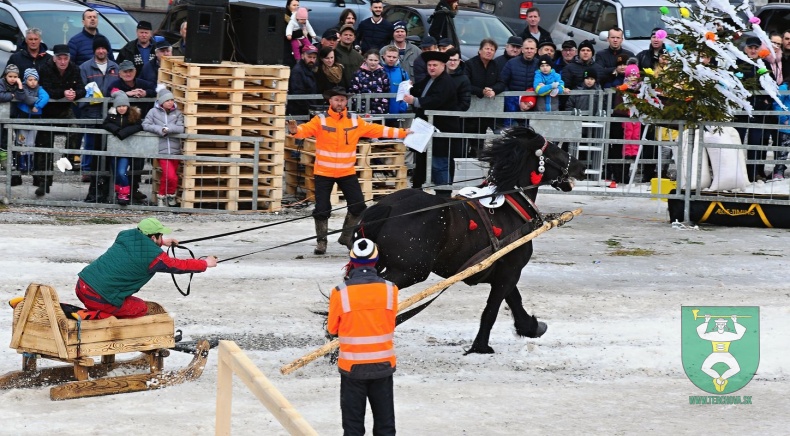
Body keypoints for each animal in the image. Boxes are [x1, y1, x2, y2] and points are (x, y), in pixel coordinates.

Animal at [352, 126, 588, 354]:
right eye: (557, 151)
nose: (582, 166)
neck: (510, 207)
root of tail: (388, 208)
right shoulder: (510, 272)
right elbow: (492, 309)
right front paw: (481, 346)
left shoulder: (503, 270)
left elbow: (514, 300)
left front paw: (531, 327)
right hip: (409, 271)